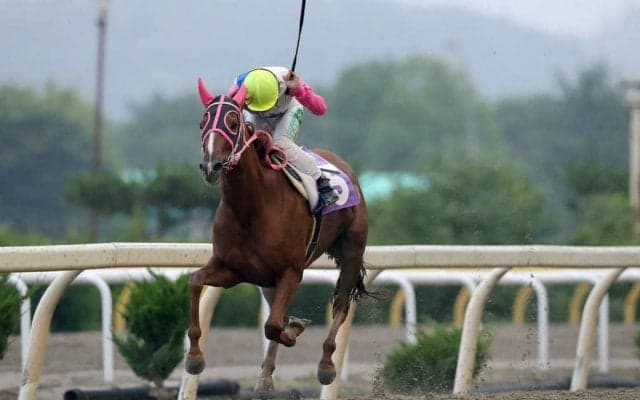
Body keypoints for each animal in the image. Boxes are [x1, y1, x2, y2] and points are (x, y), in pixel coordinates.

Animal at [184, 78, 371, 390]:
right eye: (202, 123)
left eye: (233, 122)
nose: (211, 166)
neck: (251, 208)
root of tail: (342, 165)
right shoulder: (232, 268)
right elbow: (196, 282)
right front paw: (195, 357)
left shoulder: (291, 271)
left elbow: (274, 325)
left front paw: (295, 329)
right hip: (268, 280)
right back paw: (265, 376)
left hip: (352, 252)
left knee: (341, 304)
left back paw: (326, 364)